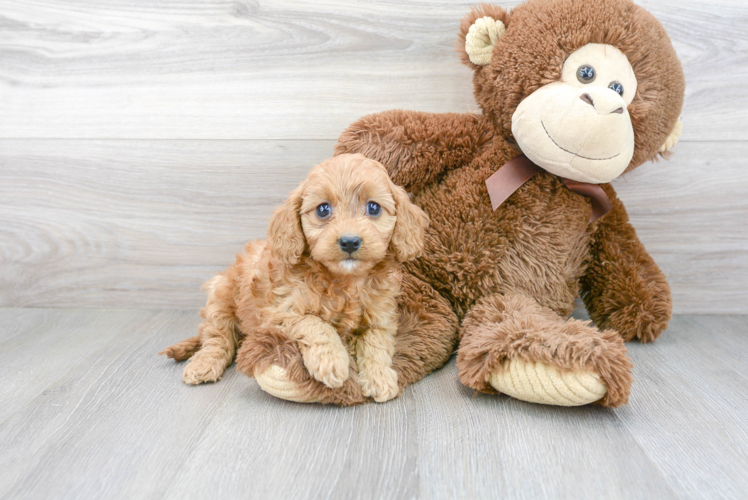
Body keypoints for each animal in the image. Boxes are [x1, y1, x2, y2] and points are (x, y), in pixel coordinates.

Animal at [159, 152, 426, 402]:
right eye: (323, 209)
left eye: (373, 207)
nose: (349, 241)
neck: (344, 280)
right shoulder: (279, 311)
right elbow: (315, 323)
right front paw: (332, 361)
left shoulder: (380, 316)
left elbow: (376, 342)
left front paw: (380, 377)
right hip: (220, 294)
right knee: (217, 338)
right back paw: (203, 364)